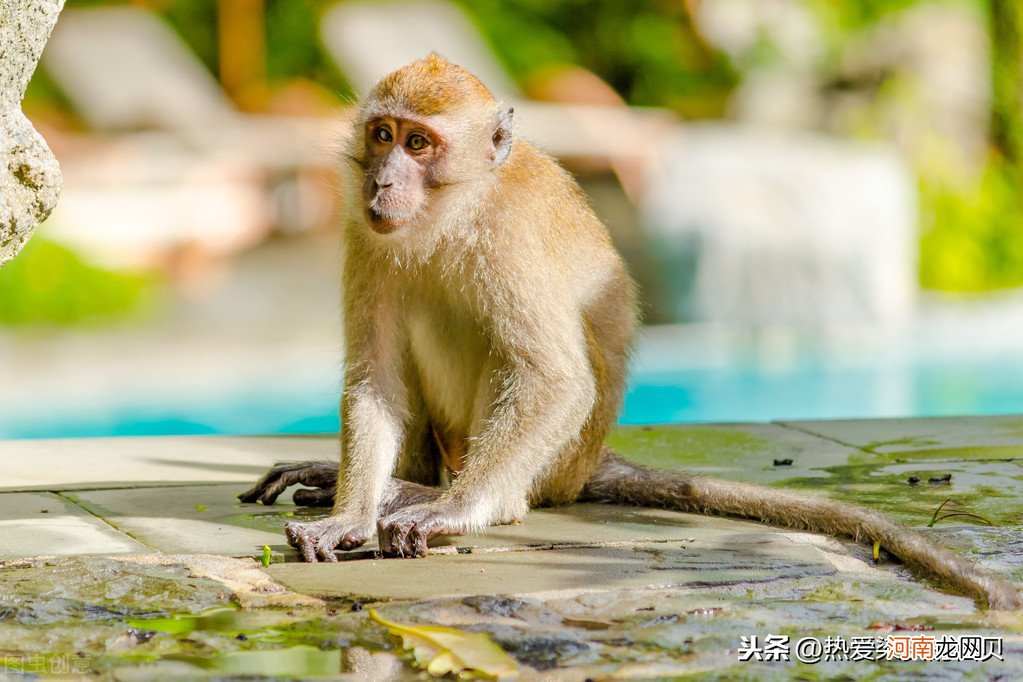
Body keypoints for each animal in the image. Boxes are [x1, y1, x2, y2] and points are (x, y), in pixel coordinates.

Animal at [235, 55, 1018, 609]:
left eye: (420, 144)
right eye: (383, 136)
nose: (384, 182)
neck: (453, 215)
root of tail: (586, 465)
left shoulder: (506, 237)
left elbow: (553, 378)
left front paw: (456, 510)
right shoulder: (366, 236)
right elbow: (375, 376)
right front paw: (350, 515)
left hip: (557, 461)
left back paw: (451, 496)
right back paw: (395, 484)